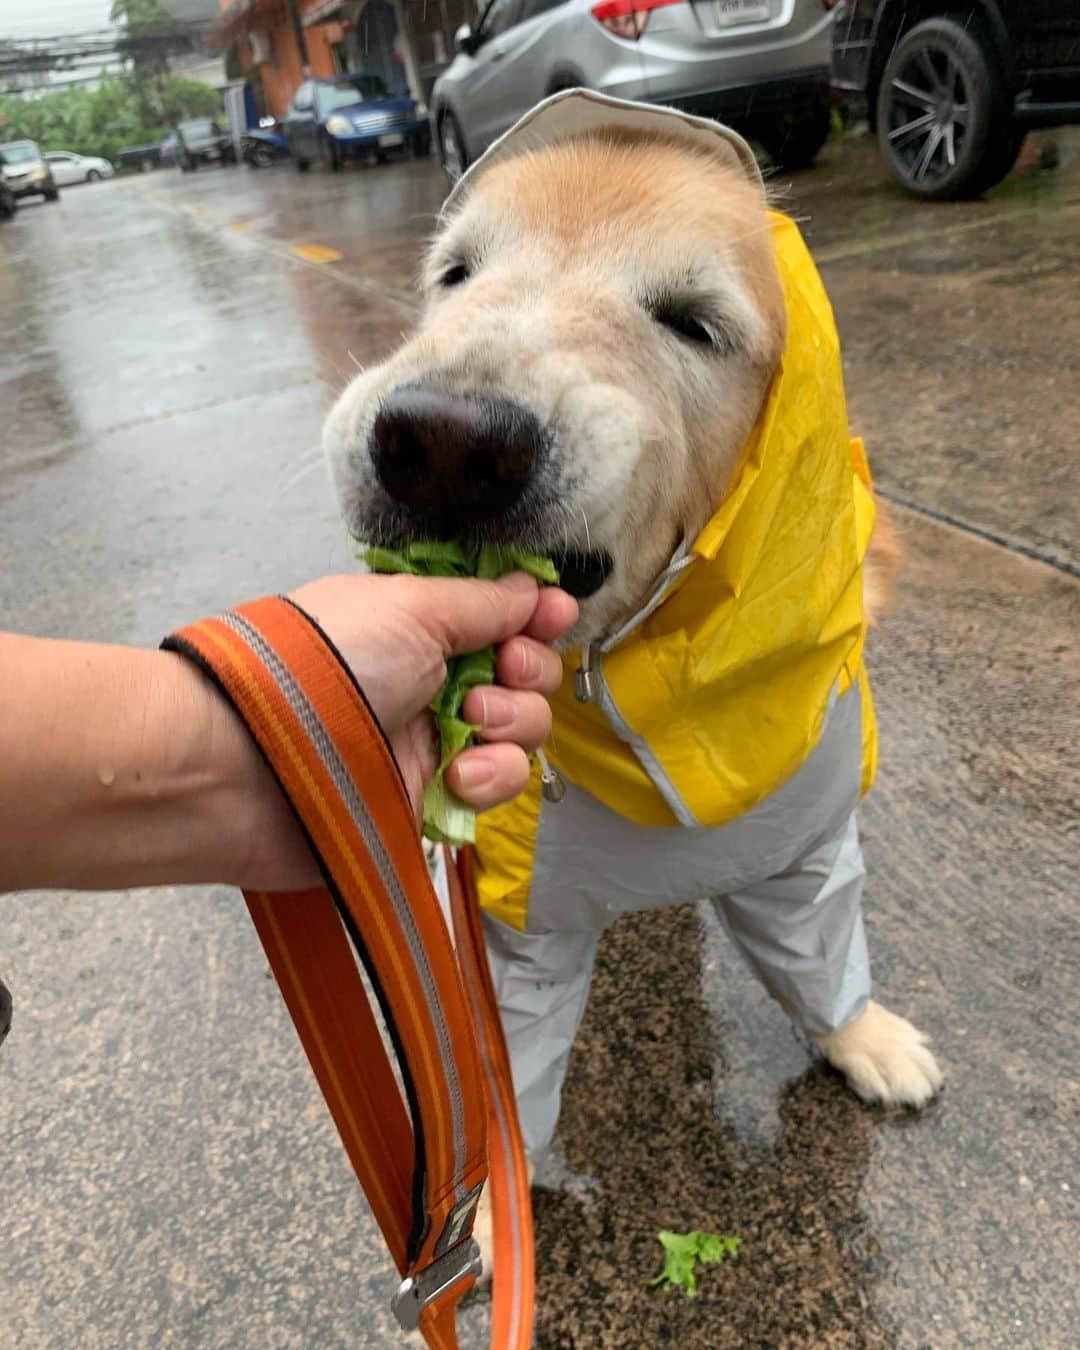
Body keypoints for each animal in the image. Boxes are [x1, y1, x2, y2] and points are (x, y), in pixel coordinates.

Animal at [325, 92, 939, 1274]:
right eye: (455, 273)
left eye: (695, 322)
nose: (442, 440)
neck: (637, 702)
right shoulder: (512, 930)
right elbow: (509, 1073)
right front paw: (490, 1216)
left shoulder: (804, 841)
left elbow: (822, 950)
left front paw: (864, 1037)